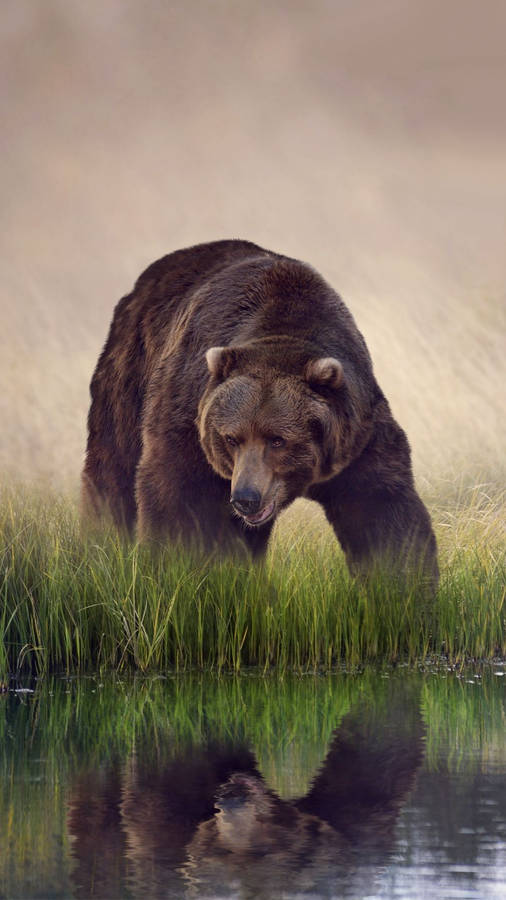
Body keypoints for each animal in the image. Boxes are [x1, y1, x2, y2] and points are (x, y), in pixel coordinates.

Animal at [82, 238, 437, 582]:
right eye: (231, 438)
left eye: (278, 439)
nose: (245, 497)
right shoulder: (189, 417)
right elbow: (176, 495)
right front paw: (172, 568)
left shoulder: (356, 437)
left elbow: (382, 510)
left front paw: (399, 585)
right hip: (130, 373)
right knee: (113, 467)